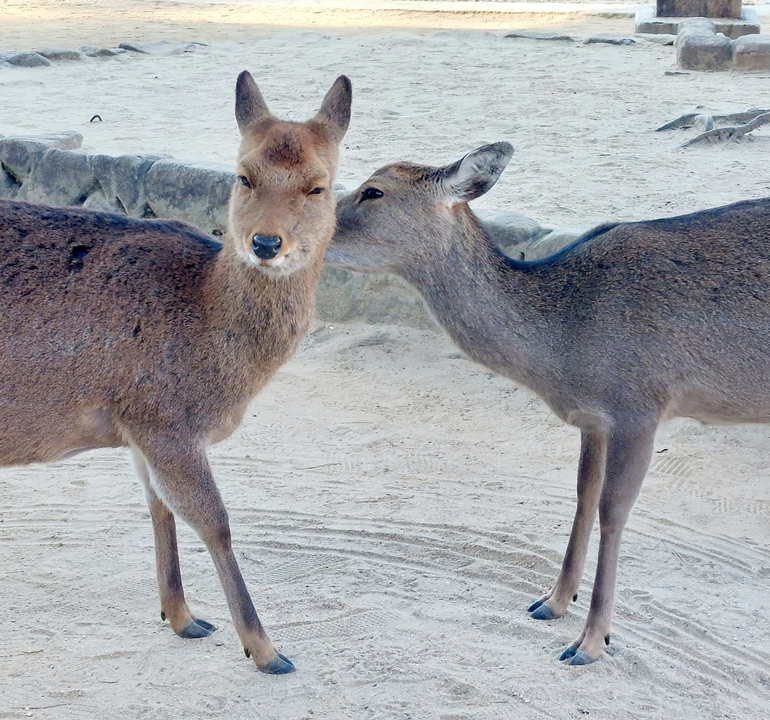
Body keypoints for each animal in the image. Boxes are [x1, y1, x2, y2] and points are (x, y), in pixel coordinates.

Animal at [0, 71, 352, 675]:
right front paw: (267, 650)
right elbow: (215, 521)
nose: (265, 243)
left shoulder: (139, 428)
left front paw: (183, 617)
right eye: (242, 176)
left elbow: (158, 509)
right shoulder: (166, 420)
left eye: (319, 186)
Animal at [327, 141, 770, 665]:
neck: (563, 349)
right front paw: (552, 602)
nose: (277, 237)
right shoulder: (594, 419)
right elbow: (583, 494)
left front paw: (590, 642)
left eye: (373, 190)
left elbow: (614, 510)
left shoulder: (639, 405)